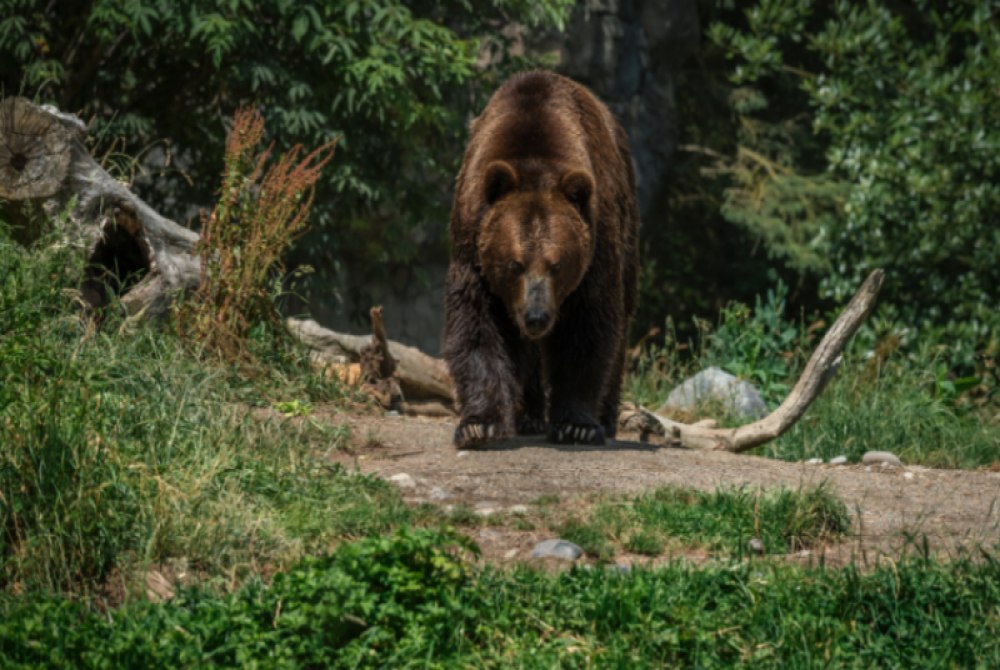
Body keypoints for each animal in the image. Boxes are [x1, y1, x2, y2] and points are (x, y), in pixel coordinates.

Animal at [443, 70, 639, 448]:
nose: (537, 317)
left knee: (622, 321)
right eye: (514, 264)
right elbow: (477, 324)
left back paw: (605, 418)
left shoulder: (597, 247)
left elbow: (588, 327)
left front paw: (577, 425)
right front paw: (479, 424)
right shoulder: (472, 242)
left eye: (557, 264)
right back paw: (528, 415)